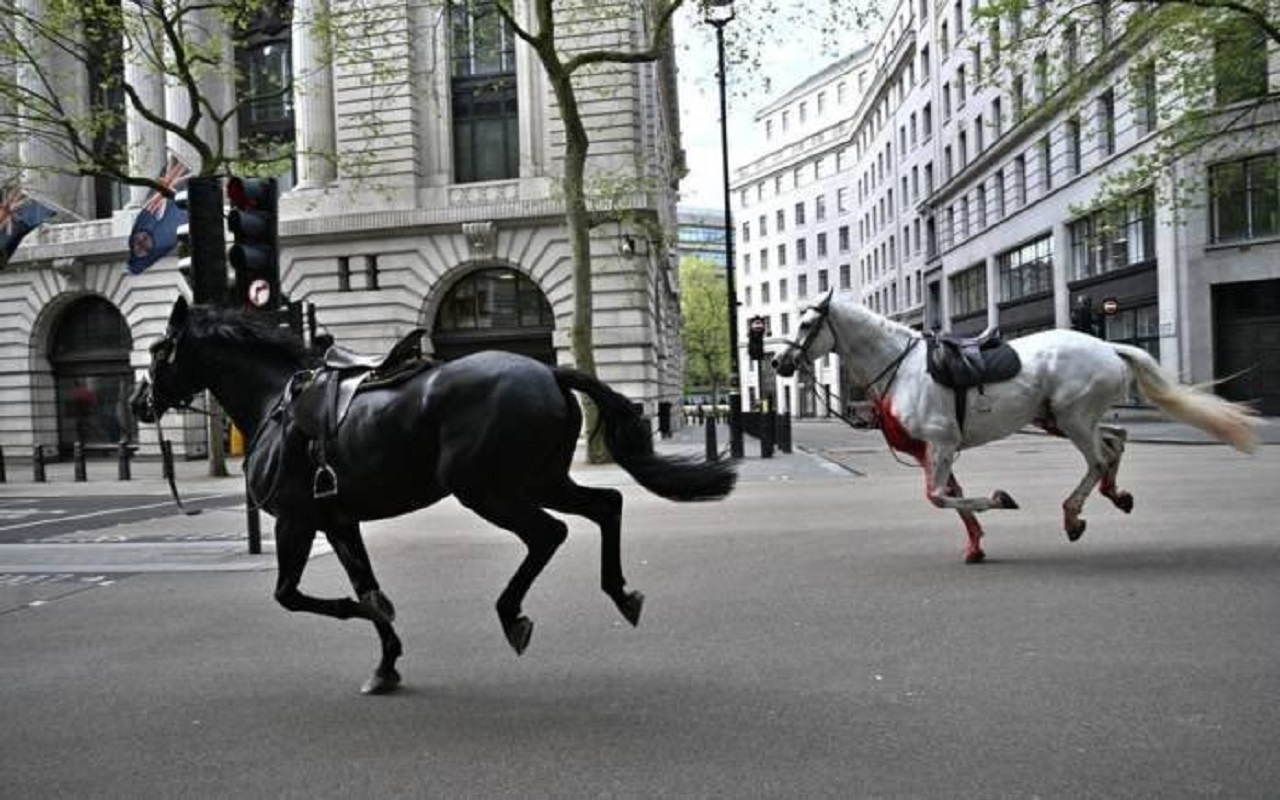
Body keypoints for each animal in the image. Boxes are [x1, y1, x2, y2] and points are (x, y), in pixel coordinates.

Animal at [133, 298, 737, 691]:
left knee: (550, 532)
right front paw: (386, 663)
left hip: (486, 489)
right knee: (605, 505)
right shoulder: (338, 520)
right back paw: (621, 592)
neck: (274, 404)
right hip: (538, 479)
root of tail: (549, 372)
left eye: (159, 349)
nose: (140, 402)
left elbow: (294, 593)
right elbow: (364, 583)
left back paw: (514, 614)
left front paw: (373, 620)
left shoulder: (296, 520)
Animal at [768, 288, 1259, 560]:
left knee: (1099, 459)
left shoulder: (941, 443)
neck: (901, 367)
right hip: (1060, 418)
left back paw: (1073, 515)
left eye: (807, 323)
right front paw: (975, 545)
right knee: (1116, 441)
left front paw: (1000, 501)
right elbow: (950, 498)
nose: (778, 362)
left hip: (1073, 418)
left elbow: (939, 497)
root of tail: (1108, 347)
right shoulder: (935, 450)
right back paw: (1116, 495)